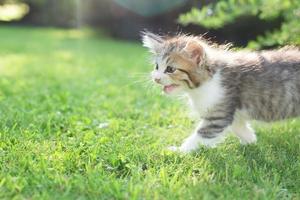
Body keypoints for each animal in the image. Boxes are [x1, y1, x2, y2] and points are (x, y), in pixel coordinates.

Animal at [142, 31, 300, 153]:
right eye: (157, 67)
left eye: (170, 69)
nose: (156, 78)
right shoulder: (232, 111)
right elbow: (238, 126)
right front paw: (251, 142)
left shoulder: (218, 115)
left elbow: (200, 136)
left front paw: (179, 151)